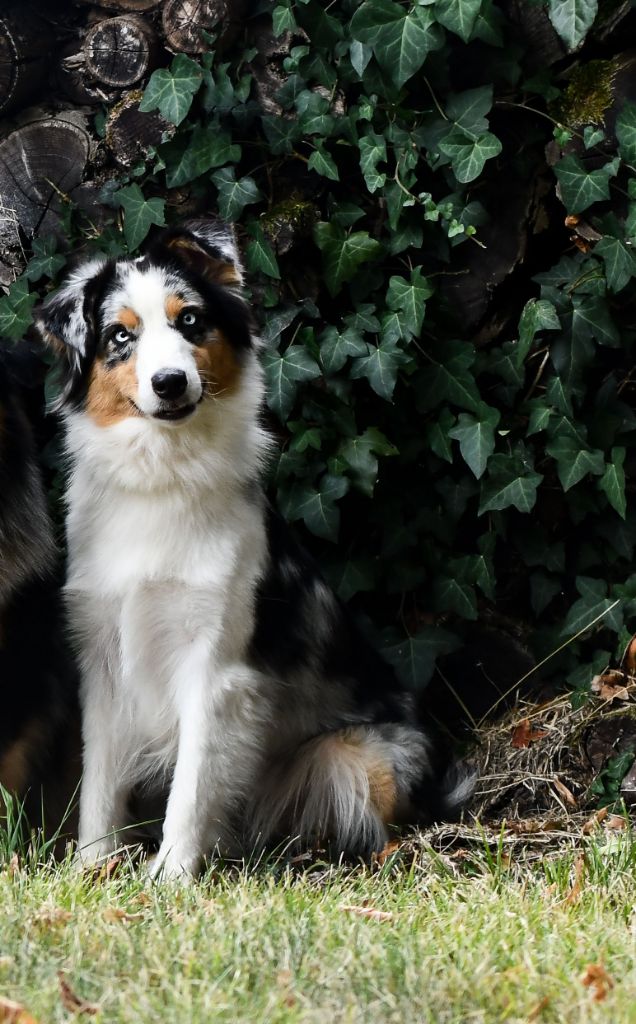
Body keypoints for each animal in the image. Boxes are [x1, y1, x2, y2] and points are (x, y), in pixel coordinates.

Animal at [35, 222, 471, 880]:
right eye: (120, 336)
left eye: (190, 320)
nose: (170, 382)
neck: (164, 475)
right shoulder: (104, 658)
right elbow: (99, 784)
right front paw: (92, 869)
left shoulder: (217, 664)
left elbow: (191, 789)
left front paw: (169, 878)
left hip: (361, 755)